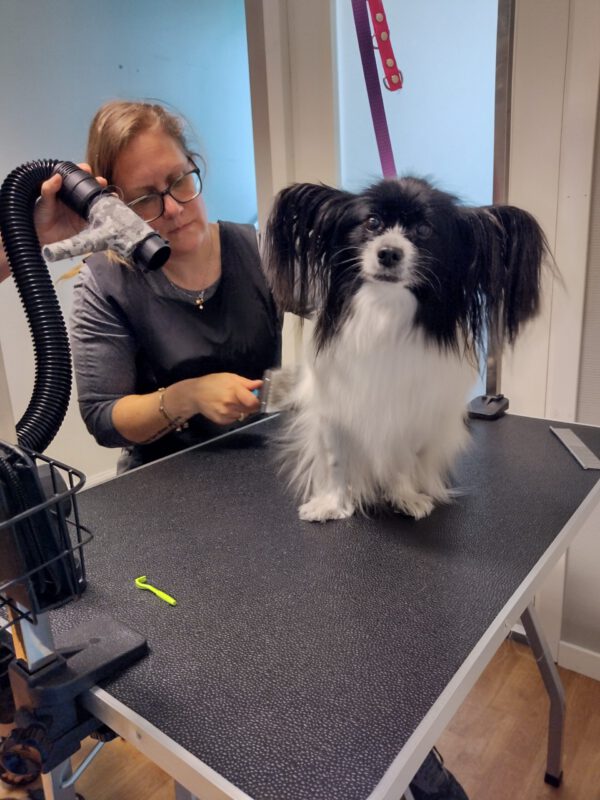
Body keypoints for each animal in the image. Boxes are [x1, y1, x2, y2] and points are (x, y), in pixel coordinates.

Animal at [262, 177, 548, 520]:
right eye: (372, 223)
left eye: (424, 230)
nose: (388, 252)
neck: (386, 308)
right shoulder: (334, 411)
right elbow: (336, 460)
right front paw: (332, 503)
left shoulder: (407, 415)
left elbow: (401, 460)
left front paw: (405, 496)